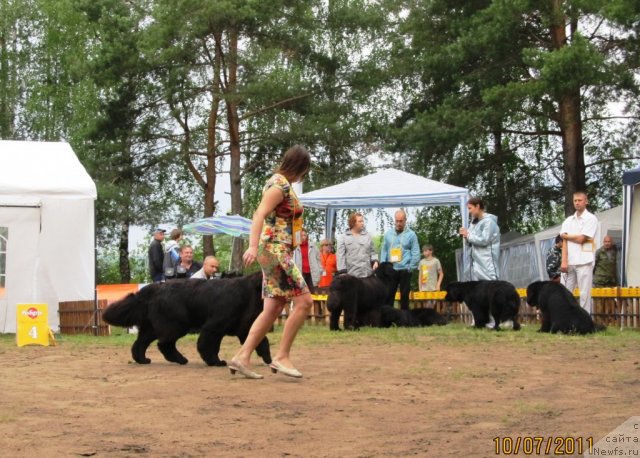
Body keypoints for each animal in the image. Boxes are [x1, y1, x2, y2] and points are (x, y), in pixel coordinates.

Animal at [102, 274, 270, 366]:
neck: (248, 292)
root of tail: (155, 287)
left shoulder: (246, 327)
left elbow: (262, 342)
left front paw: (268, 359)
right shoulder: (214, 326)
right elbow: (208, 346)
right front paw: (215, 362)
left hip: (153, 327)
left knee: (140, 343)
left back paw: (143, 359)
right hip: (176, 325)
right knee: (164, 344)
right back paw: (180, 359)